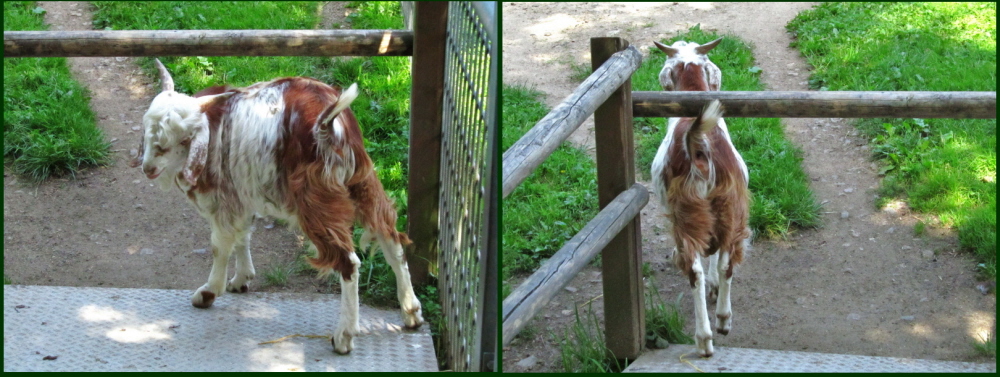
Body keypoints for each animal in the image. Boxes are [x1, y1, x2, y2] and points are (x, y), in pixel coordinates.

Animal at [132, 58, 422, 352]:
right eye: (147, 133)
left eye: (184, 140)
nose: (148, 168)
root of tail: (331, 122)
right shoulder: (240, 193)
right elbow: (243, 235)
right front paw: (242, 279)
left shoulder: (222, 198)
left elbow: (220, 246)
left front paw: (210, 291)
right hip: (361, 181)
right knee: (391, 238)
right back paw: (411, 312)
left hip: (315, 199)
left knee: (349, 262)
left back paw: (344, 336)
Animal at [648, 39, 752, 358]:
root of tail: (700, 147)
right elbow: (717, 255)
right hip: (732, 208)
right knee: (728, 261)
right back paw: (723, 320)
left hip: (686, 212)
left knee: (694, 269)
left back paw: (704, 339)